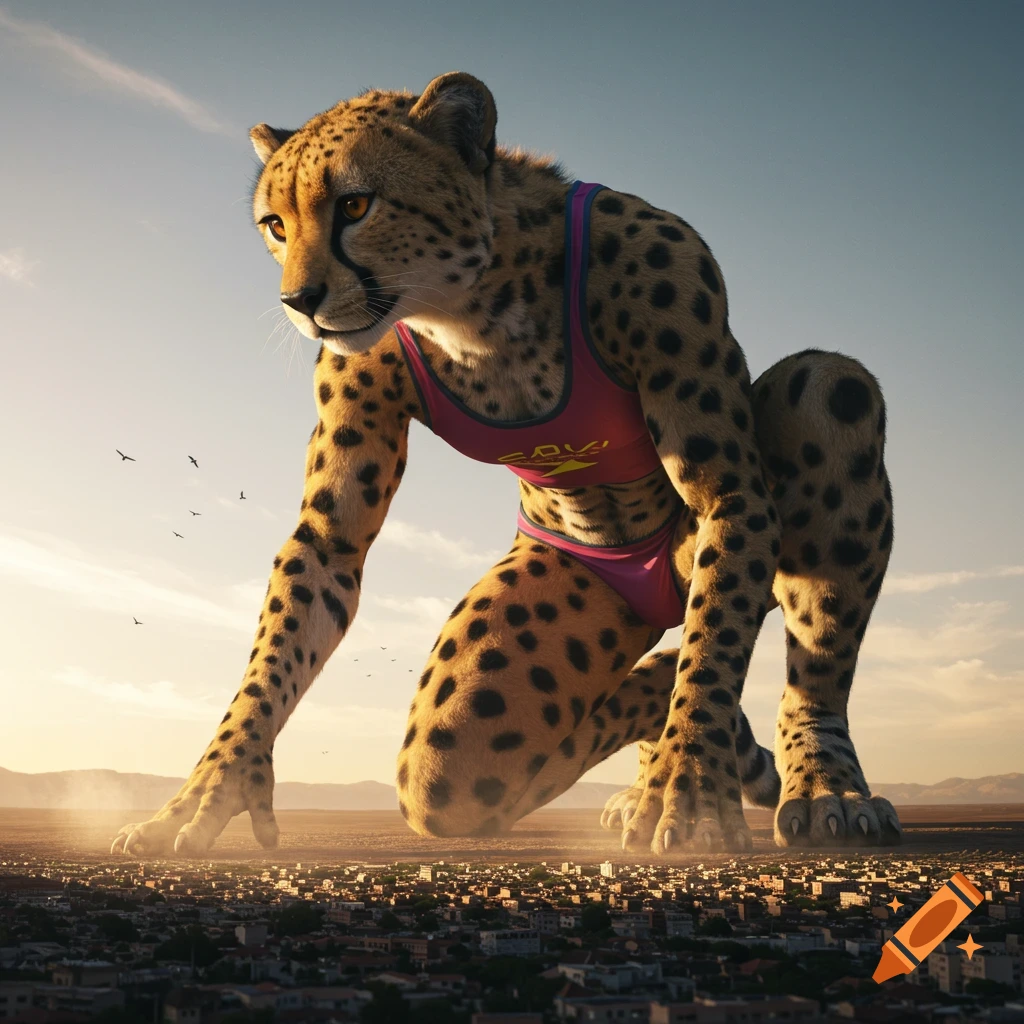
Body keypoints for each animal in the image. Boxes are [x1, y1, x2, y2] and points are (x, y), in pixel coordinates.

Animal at [111, 72, 901, 858]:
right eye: (277, 225)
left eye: (355, 205)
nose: (299, 301)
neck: (478, 305)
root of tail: (654, 600)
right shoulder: (349, 424)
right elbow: (308, 586)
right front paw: (214, 785)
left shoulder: (722, 460)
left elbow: (715, 642)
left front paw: (694, 789)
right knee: (464, 770)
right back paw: (674, 741)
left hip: (808, 427)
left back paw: (824, 785)